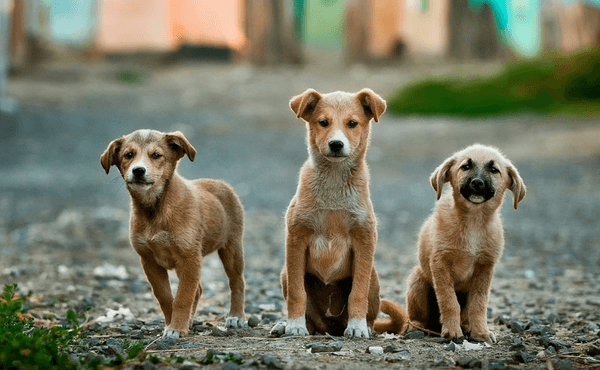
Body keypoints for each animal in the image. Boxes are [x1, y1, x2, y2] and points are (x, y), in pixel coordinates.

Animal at [99, 130, 245, 338]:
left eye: (156, 155)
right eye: (128, 155)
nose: (138, 170)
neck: (155, 209)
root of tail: (221, 183)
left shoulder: (189, 258)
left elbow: (183, 297)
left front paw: (176, 328)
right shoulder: (149, 261)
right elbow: (166, 297)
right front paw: (172, 324)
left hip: (231, 248)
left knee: (237, 282)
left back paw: (236, 316)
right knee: (198, 290)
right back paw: (190, 321)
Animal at [276, 87, 390, 338]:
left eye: (352, 123)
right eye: (323, 122)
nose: (336, 144)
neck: (334, 184)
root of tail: (330, 327)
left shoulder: (364, 240)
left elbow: (357, 292)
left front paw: (357, 326)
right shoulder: (296, 239)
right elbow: (297, 294)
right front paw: (295, 325)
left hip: (374, 276)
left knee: (369, 309)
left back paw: (364, 326)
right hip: (285, 273)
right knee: (309, 315)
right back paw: (286, 325)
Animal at [404, 143, 524, 342]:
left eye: (494, 170)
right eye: (465, 166)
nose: (477, 182)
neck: (473, 221)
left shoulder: (485, 268)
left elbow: (479, 304)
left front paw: (481, 332)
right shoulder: (440, 263)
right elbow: (449, 301)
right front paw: (452, 331)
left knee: (466, 313)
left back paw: (467, 327)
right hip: (417, 282)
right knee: (417, 316)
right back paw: (415, 327)